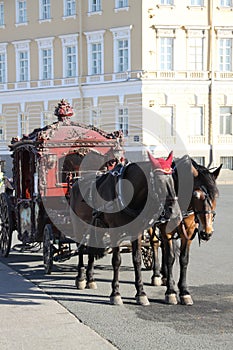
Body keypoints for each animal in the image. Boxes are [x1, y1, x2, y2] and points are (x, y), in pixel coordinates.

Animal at [69, 152, 180, 304]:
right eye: (158, 180)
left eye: (172, 180)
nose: (175, 213)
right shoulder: (115, 231)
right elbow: (116, 260)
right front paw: (115, 293)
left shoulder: (136, 231)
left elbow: (137, 260)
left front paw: (141, 293)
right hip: (78, 225)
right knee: (81, 249)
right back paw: (80, 277)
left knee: (90, 250)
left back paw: (90, 279)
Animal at [147, 157, 222, 304]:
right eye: (195, 195)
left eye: (215, 195)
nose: (206, 232)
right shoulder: (167, 232)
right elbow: (170, 258)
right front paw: (171, 292)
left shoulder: (189, 232)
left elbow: (184, 259)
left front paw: (184, 291)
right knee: (155, 243)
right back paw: (157, 274)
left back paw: (165, 275)